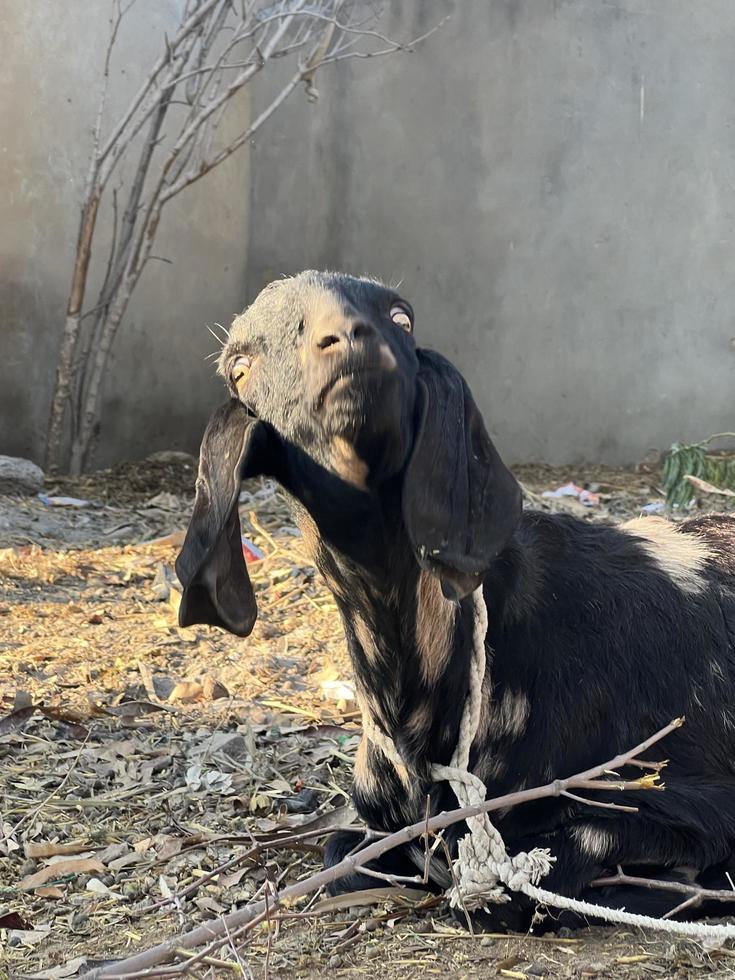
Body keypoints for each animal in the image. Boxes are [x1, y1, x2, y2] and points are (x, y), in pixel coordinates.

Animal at [175, 272, 735, 932]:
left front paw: (680, 887)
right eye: (240, 363)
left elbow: (536, 877)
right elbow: (342, 854)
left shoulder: (692, 794)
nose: (351, 340)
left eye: (401, 316)